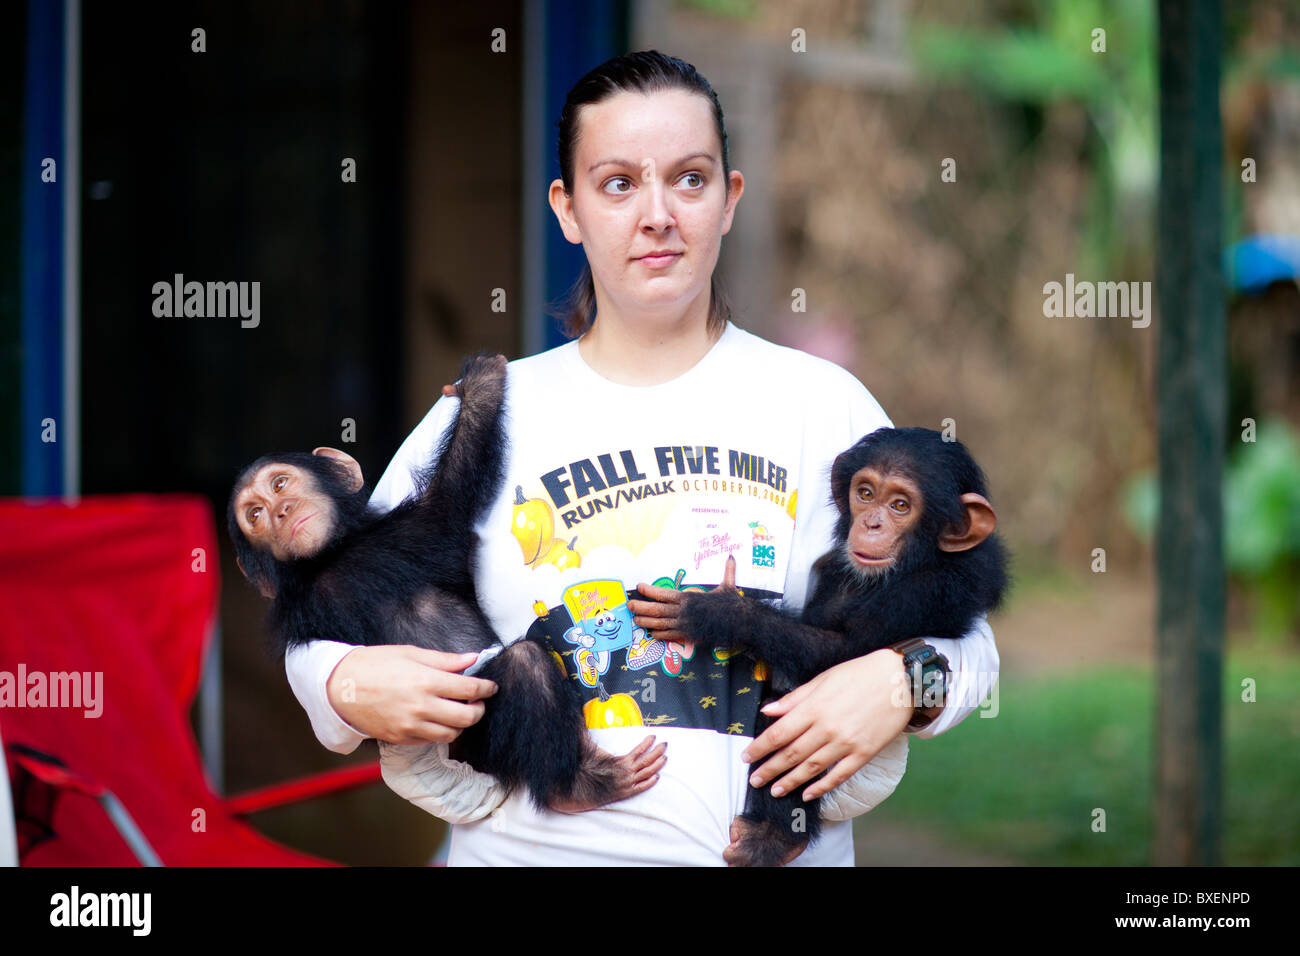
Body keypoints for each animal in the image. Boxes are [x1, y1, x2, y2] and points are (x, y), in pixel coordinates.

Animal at [224, 356, 665, 816]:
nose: (279, 511)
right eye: (254, 515)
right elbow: (453, 496)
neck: (333, 554)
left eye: (279, 484)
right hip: (478, 730)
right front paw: (481, 387)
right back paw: (578, 784)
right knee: (524, 666)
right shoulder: (410, 537)